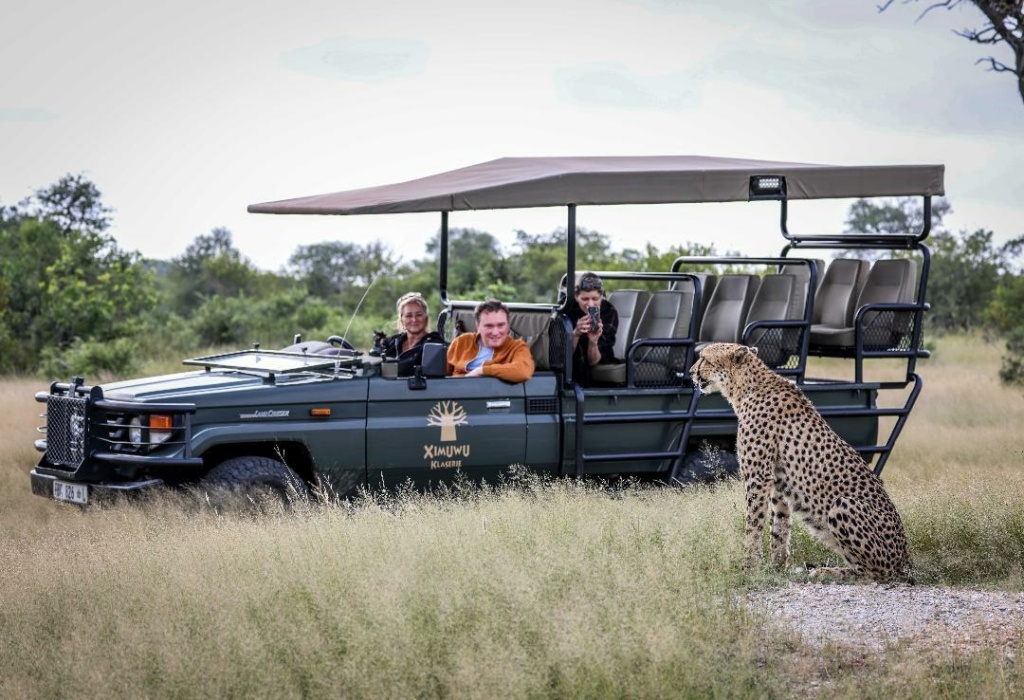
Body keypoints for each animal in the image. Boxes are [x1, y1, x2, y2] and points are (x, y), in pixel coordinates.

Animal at [688, 341, 913, 581]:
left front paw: (748, 568)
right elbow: (779, 527)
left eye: (704, 358)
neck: (746, 386)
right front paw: (776, 569)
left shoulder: (758, 476)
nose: (691, 372)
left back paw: (826, 572)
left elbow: (753, 523)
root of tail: (906, 557)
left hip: (843, 505)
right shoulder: (777, 481)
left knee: (876, 573)